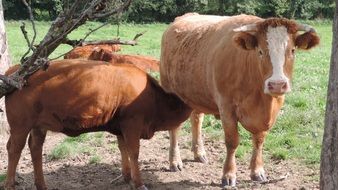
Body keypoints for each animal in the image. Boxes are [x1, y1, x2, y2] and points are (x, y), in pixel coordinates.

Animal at [3, 59, 191, 190]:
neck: (154, 97)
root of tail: (15, 71)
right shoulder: (132, 124)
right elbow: (134, 152)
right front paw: (138, 183)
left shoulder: (120, 128)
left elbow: (123, 150)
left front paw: (126, 177)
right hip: (20, 126)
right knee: (14, 149)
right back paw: (10, 184)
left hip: (38, 126)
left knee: (35, 148)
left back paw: (41, 185)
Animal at [161, 13, 320, 187]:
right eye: (260, 51)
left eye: (292, 50)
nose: (277, 84)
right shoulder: (226, 107)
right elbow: (232, 142)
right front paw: (228, 175)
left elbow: (259, 141)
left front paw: (257, 171)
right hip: (170, 89)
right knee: (174, 128)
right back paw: (174, 162)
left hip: (197, 94)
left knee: (197, 119)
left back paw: (199, 153)